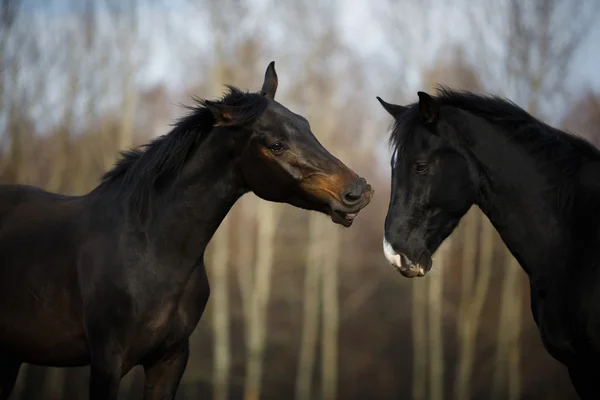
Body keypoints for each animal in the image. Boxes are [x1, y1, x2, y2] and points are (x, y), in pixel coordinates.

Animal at [0, 61, 372, 398]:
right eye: (276, 144)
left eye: (305, 126)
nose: (358, 191)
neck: (150, 250)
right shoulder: (106, 363)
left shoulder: (170, 359)